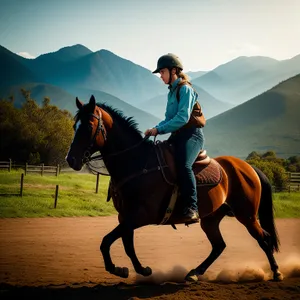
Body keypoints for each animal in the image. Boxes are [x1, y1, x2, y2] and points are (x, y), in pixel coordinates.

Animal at [65, 96, 284, 284]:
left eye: (88, 126)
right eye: (75, 126)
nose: (71, 159)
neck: (138, 162)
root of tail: (248, 167)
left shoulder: (140, 216)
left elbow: (106, 241)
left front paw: (120, 269)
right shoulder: (126, 217)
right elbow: (126, 245)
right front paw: (138, 270)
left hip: (247, 216)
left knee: (264, 239)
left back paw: (276, 272)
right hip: (212, 218)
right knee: (219, 245)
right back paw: (194, 273)